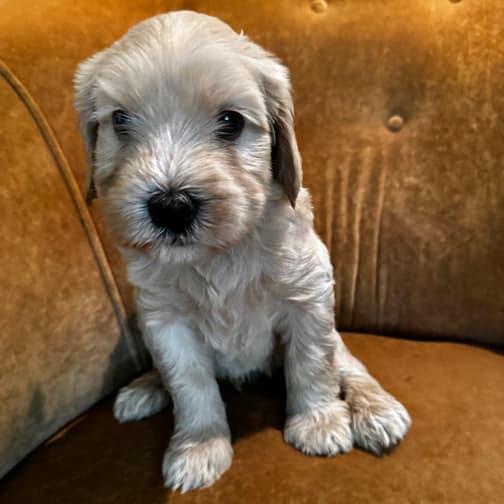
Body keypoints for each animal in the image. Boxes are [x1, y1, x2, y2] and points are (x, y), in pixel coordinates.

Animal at [75, 11, 412, 492]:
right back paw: (146, 387)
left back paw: (376, 409)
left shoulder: (308, 299)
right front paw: (200, 447)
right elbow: (190, 386)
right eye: (120, 120)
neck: (220, 255)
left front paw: (318, 422)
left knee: (349, 364)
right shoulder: (166, 322)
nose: (171, 206)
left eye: (231, 121)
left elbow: (313, 364)